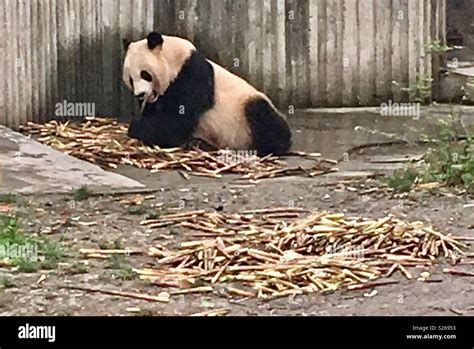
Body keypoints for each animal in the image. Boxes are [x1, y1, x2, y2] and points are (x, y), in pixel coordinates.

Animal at [122, 31, 292, 156]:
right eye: (130, 79)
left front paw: (137, 127)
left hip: (245, 111)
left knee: (263, 116)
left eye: (145, 74)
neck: (175, 58)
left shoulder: (192, 76)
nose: (140, 94)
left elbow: (177, 122)